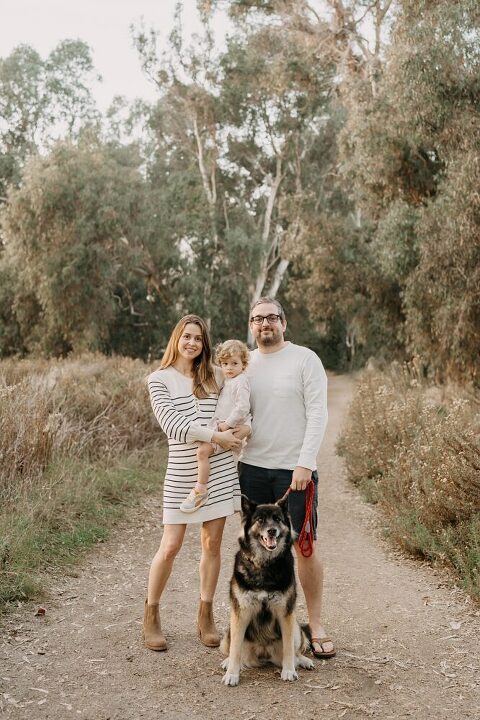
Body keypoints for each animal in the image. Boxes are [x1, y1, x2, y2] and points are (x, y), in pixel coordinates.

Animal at [221, 496, 316, 688]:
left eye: (277, 519)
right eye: (260, 520)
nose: (272, 531)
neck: (265, 565)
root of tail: (263, 652)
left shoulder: (285, 614)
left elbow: (288, 648)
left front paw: (289, 671)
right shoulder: (240, 613)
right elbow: (235, 649)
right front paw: (232, 674)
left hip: (295, 626)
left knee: (295, 651)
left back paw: (303, 661)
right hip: (230, 628)